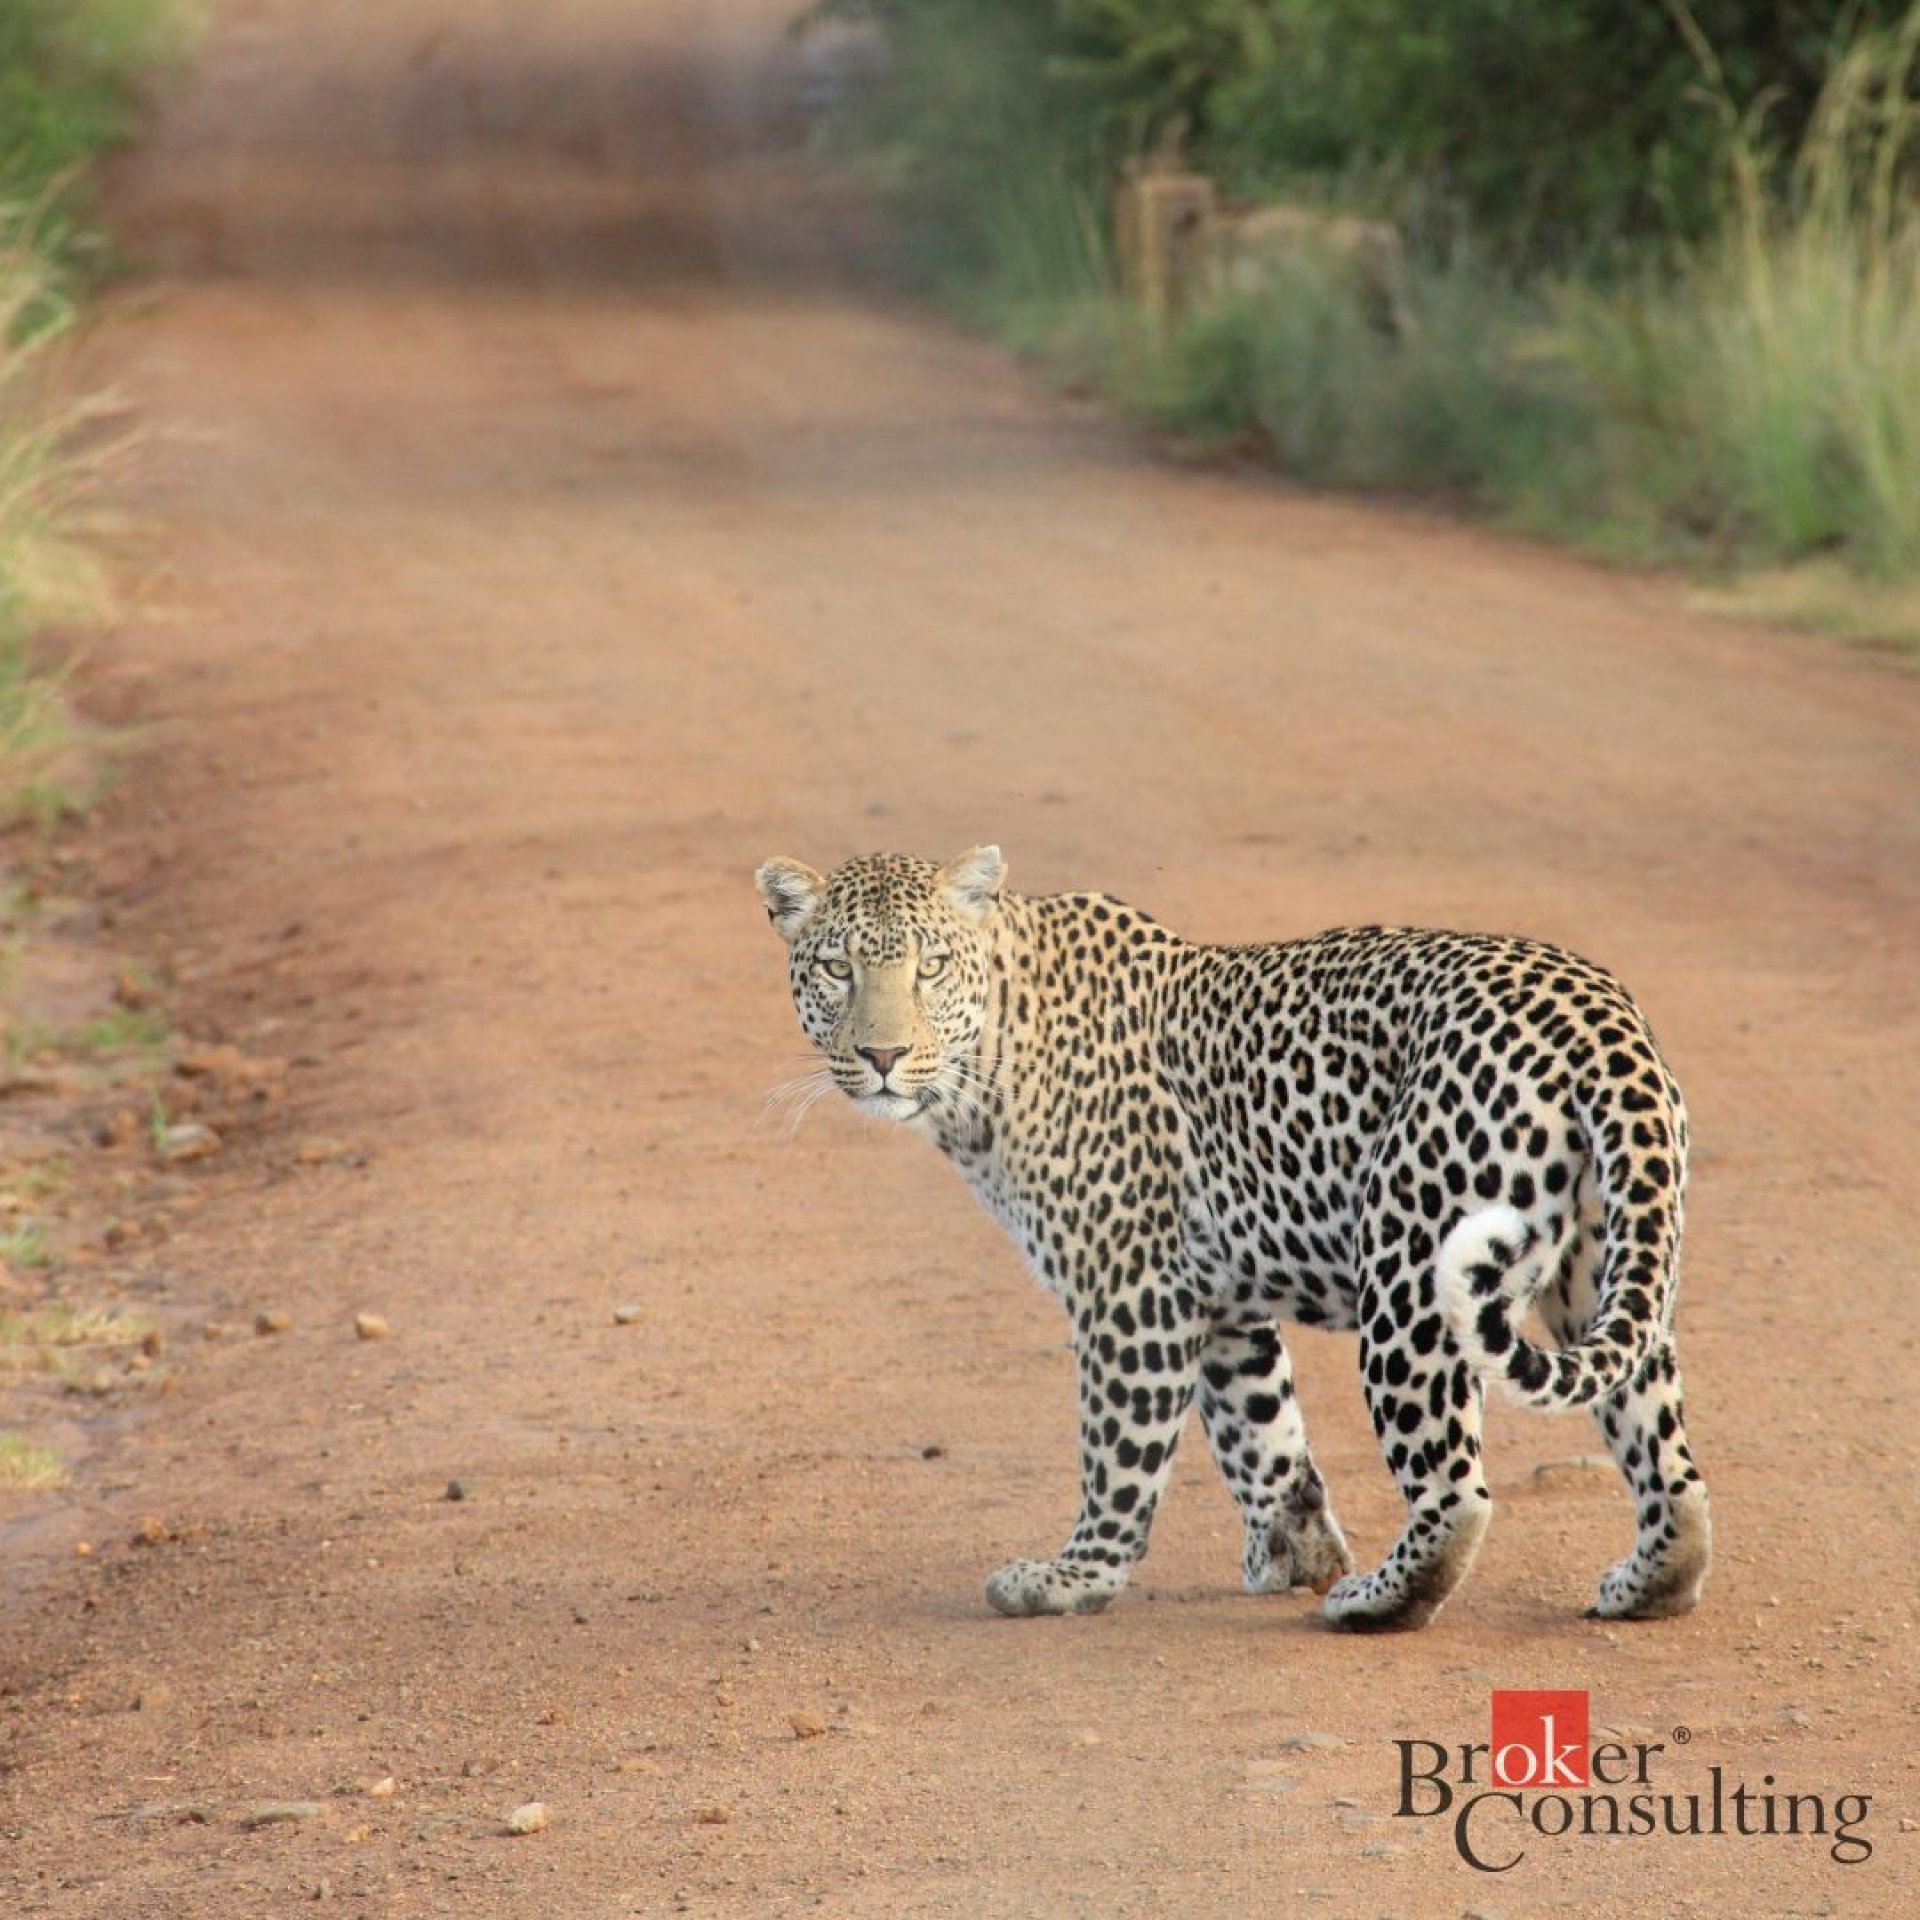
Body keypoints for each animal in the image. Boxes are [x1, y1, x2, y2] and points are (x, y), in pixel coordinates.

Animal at [748, 848, 1712, 1628]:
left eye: (931, 967)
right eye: (835, 969)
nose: (880, 1056)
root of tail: (1600, 1017)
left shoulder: (1130, 1290)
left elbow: (1119, 1452)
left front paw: (1074, 1579)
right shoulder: (1217, 1299)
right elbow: (1263, 1434)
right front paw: (1296, 1551)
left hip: (1410, 1270)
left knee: (1455, 1491)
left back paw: (1375, 1601)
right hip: (1603, 1267)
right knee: (1666, 1457)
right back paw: (1646, 1585)